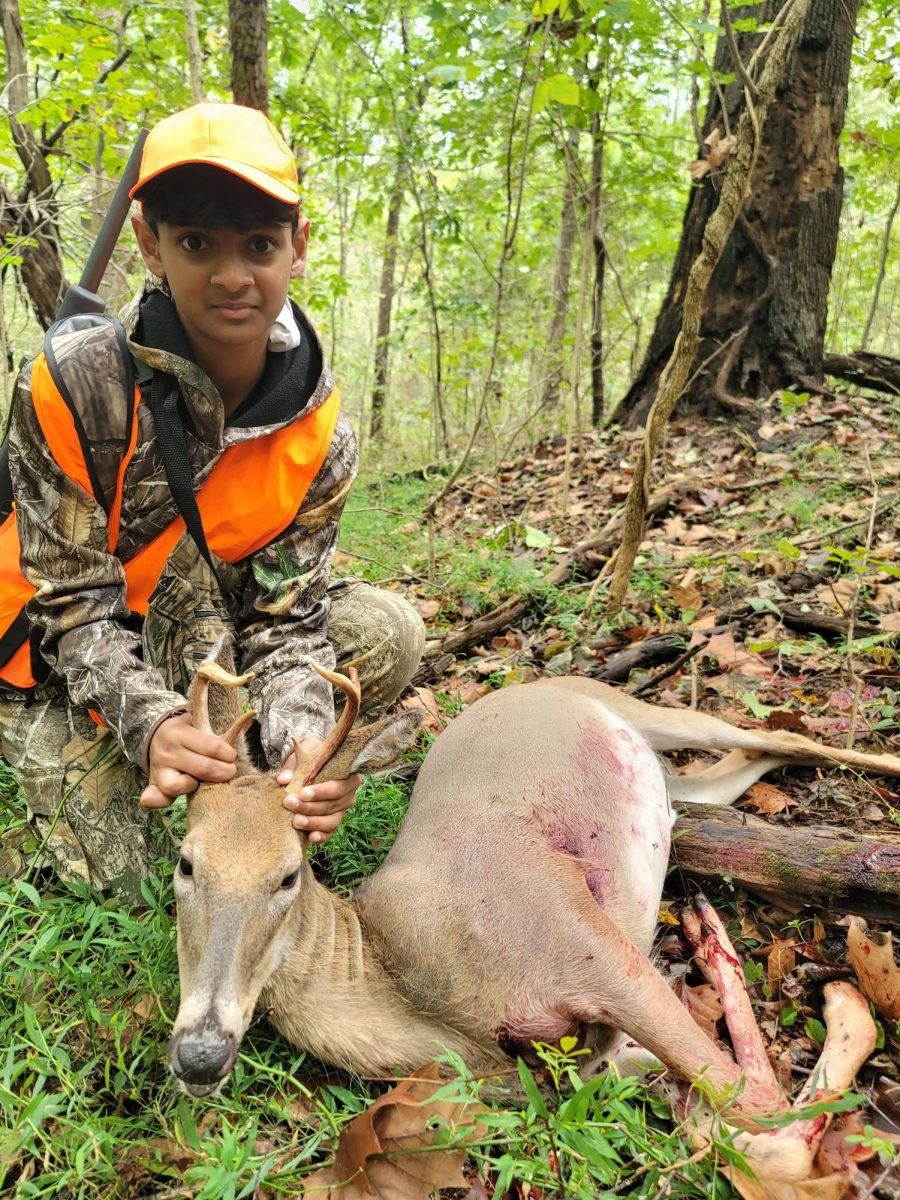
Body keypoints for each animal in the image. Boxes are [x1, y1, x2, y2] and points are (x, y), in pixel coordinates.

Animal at [169, 667, 900, 1180]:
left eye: (289, 873)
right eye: (186, 863)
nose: (199, 1054)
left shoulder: (586, 942)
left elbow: (762, 1112)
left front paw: (846, 1007)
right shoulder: (588, 1064)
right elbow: (724, 1120)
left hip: (643, 710)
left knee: (771, 733)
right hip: (675, 787)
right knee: (737, 769)